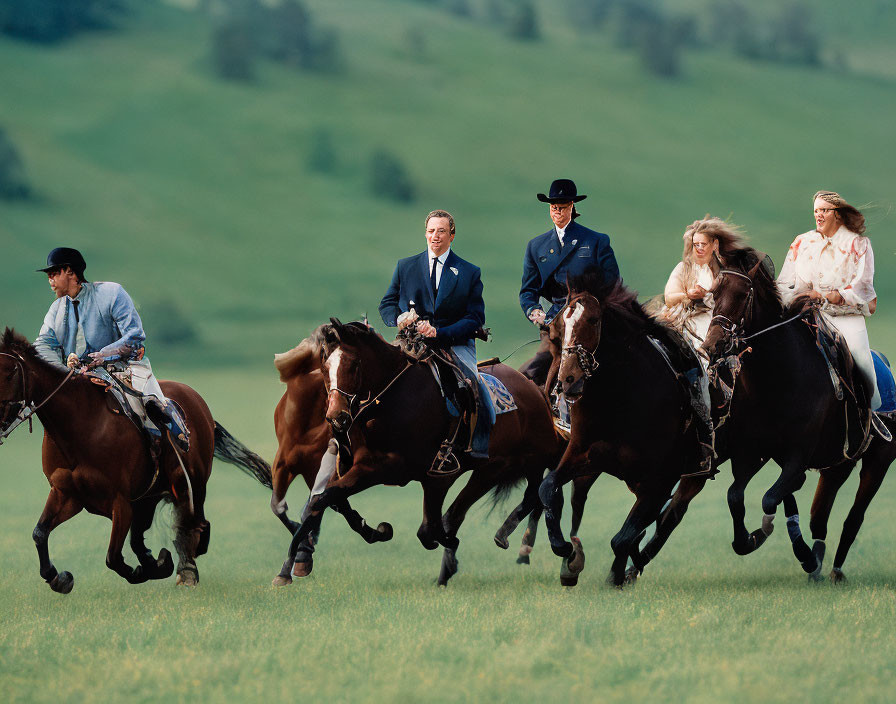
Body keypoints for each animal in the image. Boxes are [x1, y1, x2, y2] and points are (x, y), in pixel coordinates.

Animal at [0, 328, 272, 592]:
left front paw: (150, 568)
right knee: (155, 533)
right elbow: (40, 533)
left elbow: (113, 557)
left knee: (194, 523)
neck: (81, 426)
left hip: (192, 484)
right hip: (150, 495)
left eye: (10, 372)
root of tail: (199, 403)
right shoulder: (67, 494)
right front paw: (59, 578)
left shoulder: (120, 502)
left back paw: (186, 571)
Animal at [278, 322, 568, 584]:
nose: (336, 417)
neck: (386, 403)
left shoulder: (404, 471)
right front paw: (292, 566)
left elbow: (427, 528)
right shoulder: (356, 467)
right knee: (514, 497)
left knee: (538, 492)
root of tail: (535, 391)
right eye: (325, 367)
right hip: (493, 469)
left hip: (519, 461)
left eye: (354, 365)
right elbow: (325, 499)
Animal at [536, 272, 712, 584]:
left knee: (670, 517)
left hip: (691, 475)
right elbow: (548, 488)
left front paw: (614, 577)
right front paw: (566, 551)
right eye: (559, 327)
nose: (567, 380)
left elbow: (624, 537)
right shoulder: (583, 454)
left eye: (593, 320)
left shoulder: (662, 477)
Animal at [700, 250, 896, 580]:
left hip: (878, 462)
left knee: (853, 518)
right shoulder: (753, 453)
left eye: (742, 295)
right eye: (714, 293)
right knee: (820, 515)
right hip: (837, 464)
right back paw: (815, 558)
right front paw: (750, 539)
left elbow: (768, 497)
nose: (712, 345)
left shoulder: (797, 456)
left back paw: (834, 570)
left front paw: (766, 533)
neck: (779, 378)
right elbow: (735, 497)